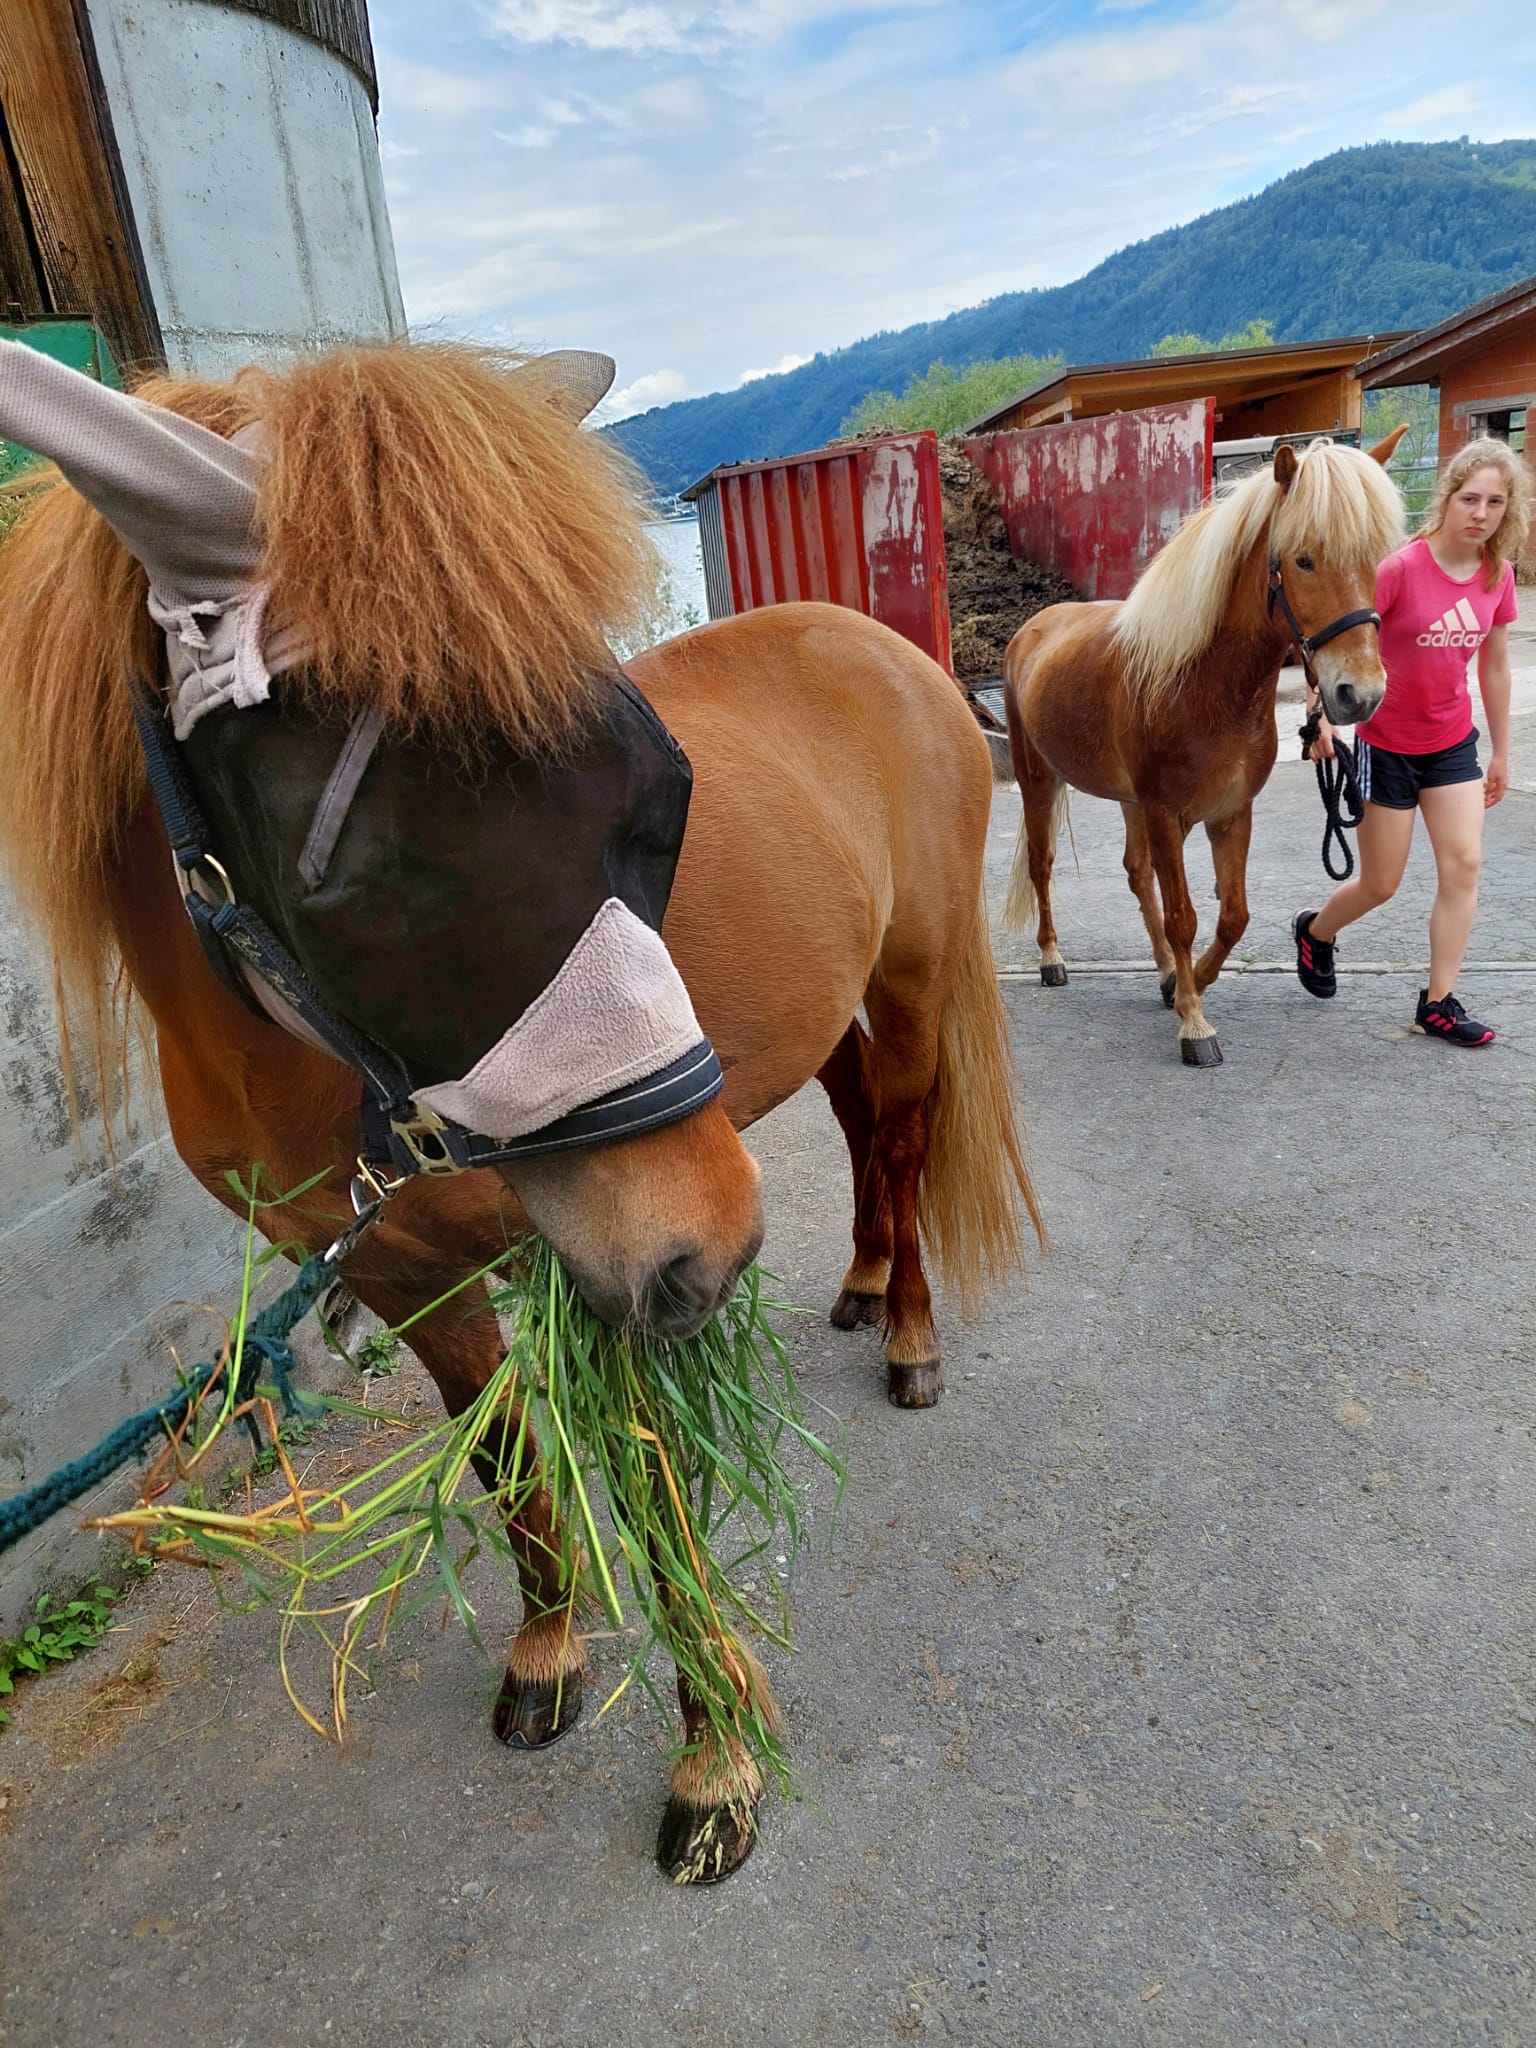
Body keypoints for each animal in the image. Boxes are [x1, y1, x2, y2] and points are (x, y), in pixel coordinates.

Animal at [0, 342, 1037, 1881]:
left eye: (663, 793)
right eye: (354, 866)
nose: (708, 1255)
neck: (309, 1065)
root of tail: (882, 643)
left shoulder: (596, 1270)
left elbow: (653, 1492)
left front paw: (716, 1751)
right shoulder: (406, 1269)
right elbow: (503, 1456)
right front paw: (550, 1647)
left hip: (908, 981)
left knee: (905, 1145)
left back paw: (908, 1333)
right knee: (861, 1127)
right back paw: (856, 1289)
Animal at [1000, 433, 1407, 1064]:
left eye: (1379, 560)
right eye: (1304, 559)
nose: (1359, 694)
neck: (1203, 684)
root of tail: (1031, 630)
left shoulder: (1228, 814)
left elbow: (1232, 915)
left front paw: (1186, 986)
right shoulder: (1167, 815)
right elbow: (1185, 917)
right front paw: (1194, 1024)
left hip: (1130, 802)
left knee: (1137, 875)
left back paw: (1167, 971)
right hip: (1038, 779)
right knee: (1042, 866)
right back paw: (1052, 958)